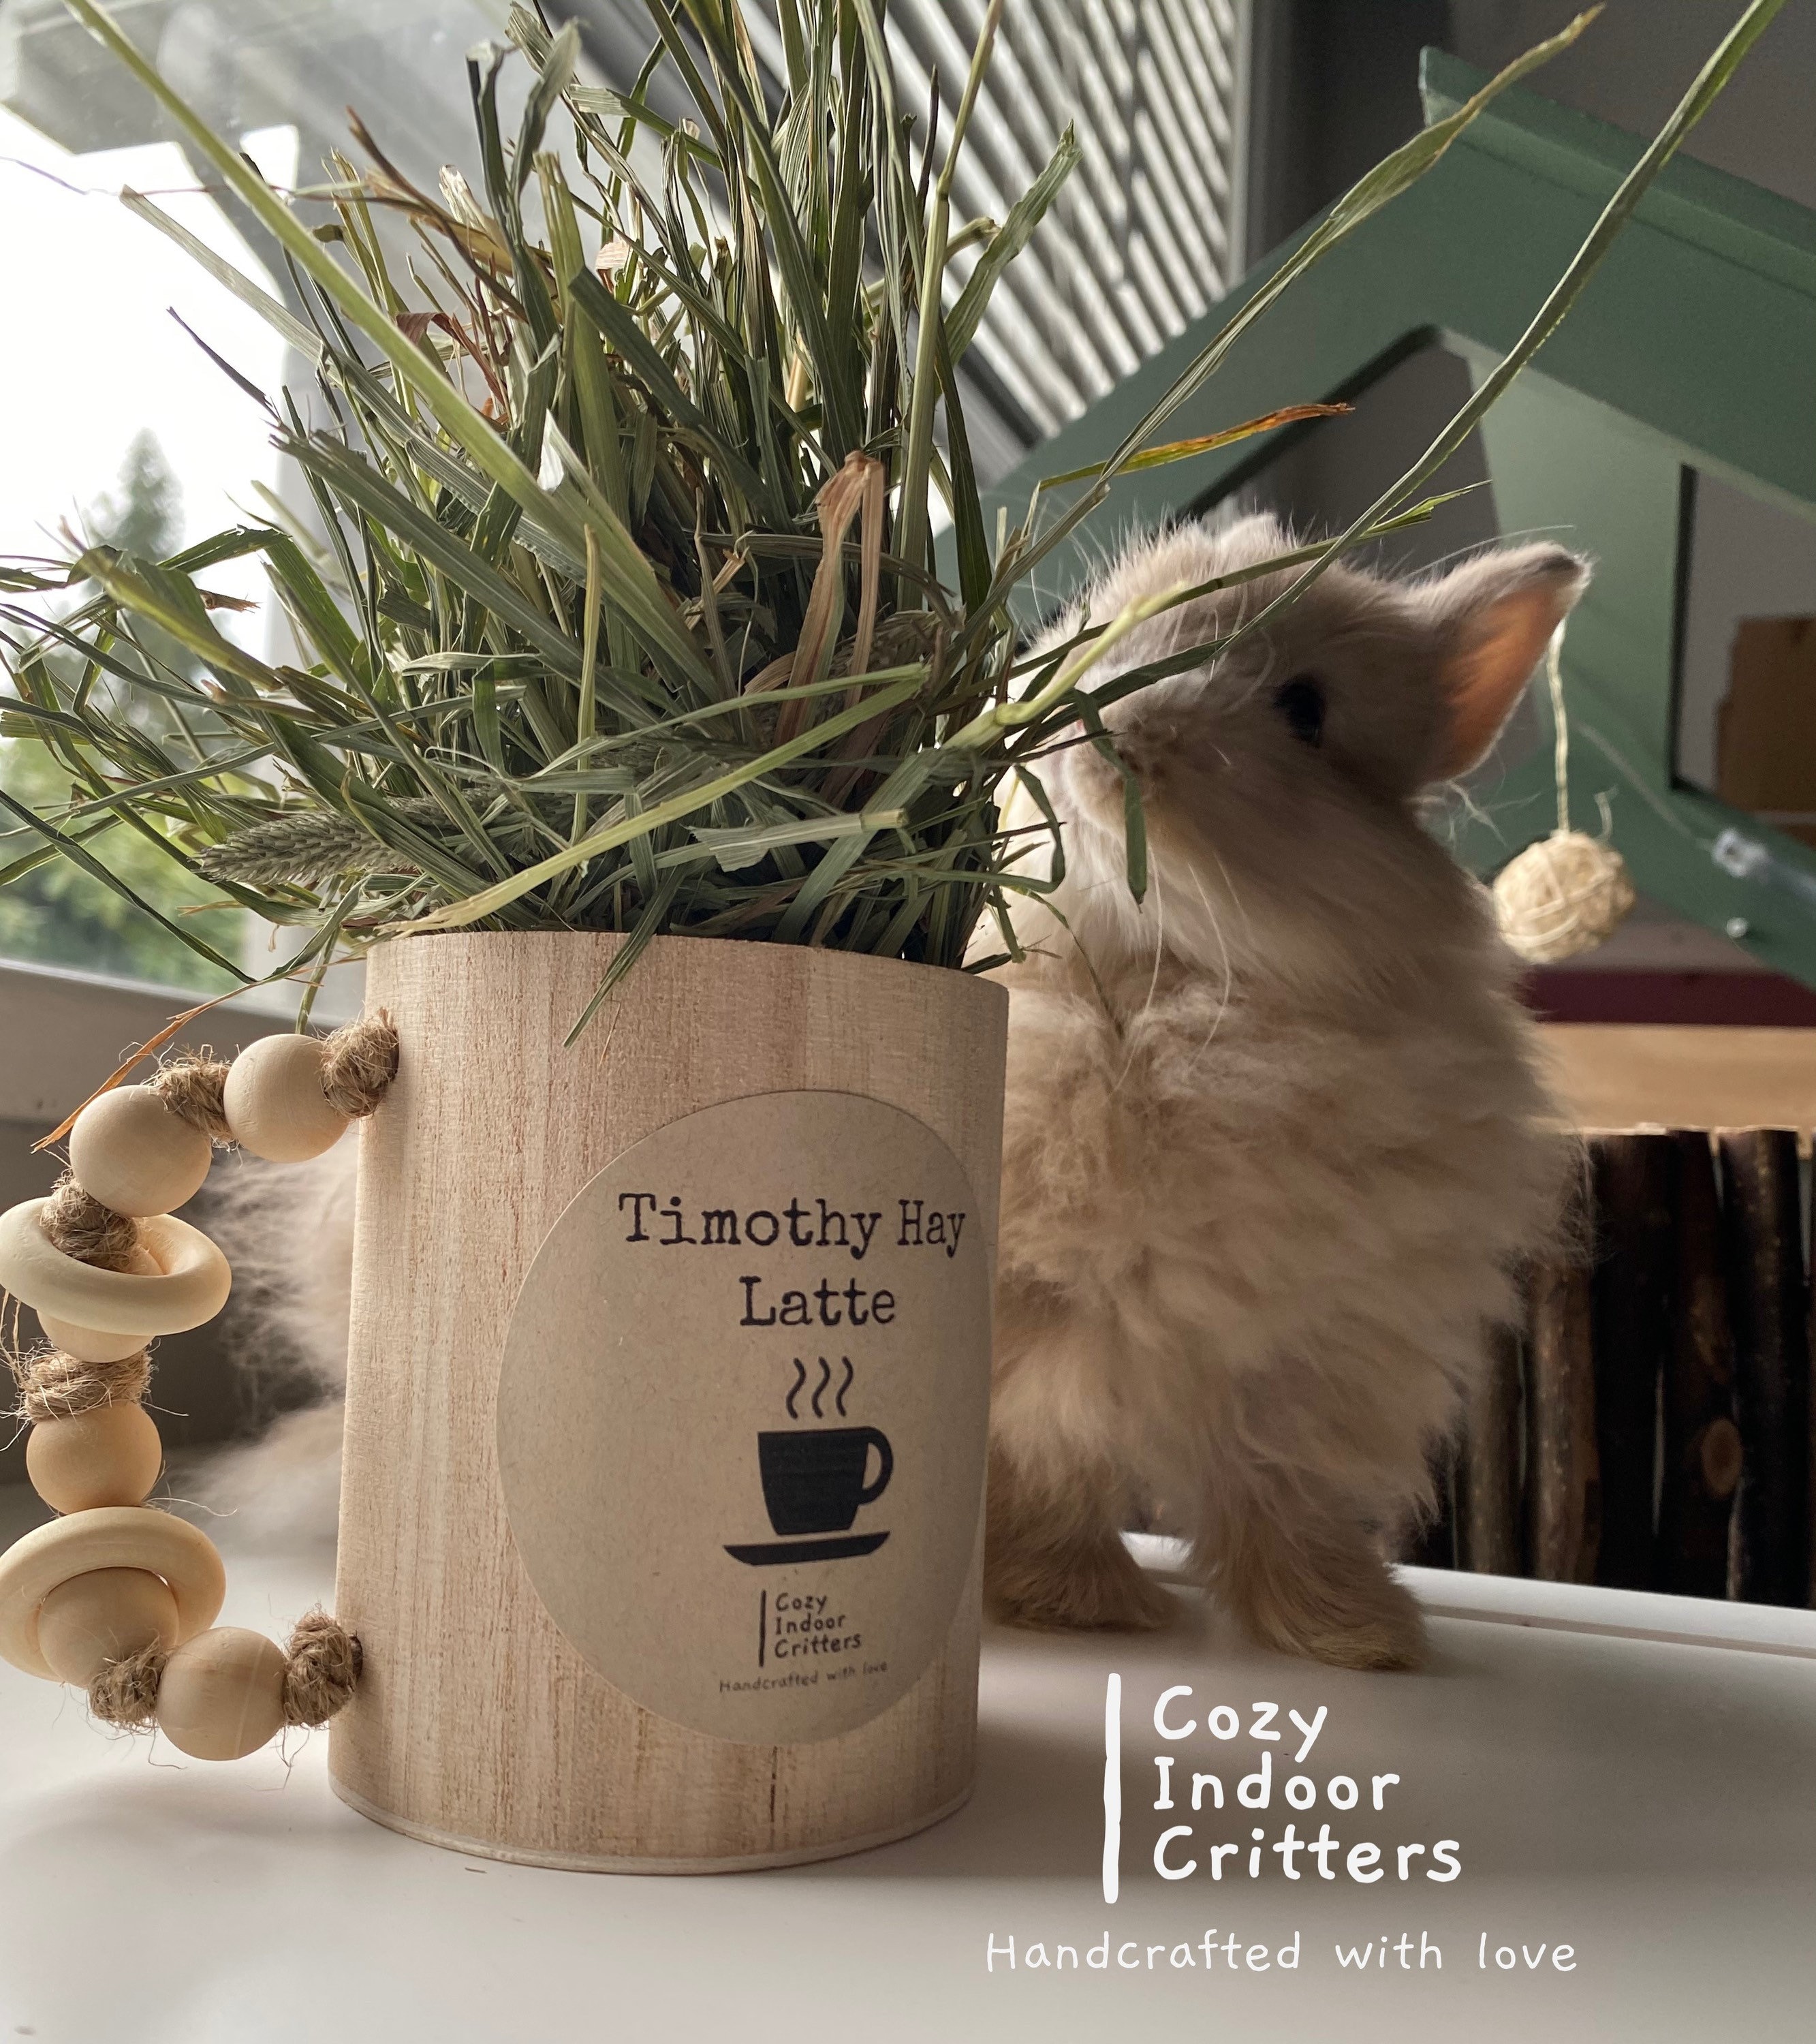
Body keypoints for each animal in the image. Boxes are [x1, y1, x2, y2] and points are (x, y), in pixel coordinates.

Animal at [976, 512, 1585, 1670]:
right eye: (1108, 617)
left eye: (1305, 709)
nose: (1095, 723)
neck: (1169, 998)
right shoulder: (1040, 1345)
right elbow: (1049, 1467)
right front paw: (1078, 1605)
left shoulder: (1312, 1369)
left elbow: (1282, 1496)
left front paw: (1355, 1634)